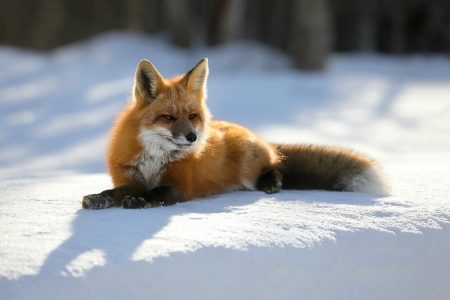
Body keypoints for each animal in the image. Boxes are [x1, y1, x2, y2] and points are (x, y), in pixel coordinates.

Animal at [82, 58, 392, 209]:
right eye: (167, 117)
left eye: (192, 116)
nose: (193, 138)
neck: (154, 160)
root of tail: (259, 138)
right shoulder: (129, 178)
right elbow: (113, 191)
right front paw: (99, 198)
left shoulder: (180, 186)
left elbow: (157, 192)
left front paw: (141, 201)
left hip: (248, 163)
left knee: (275, 167)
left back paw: (271, 182)